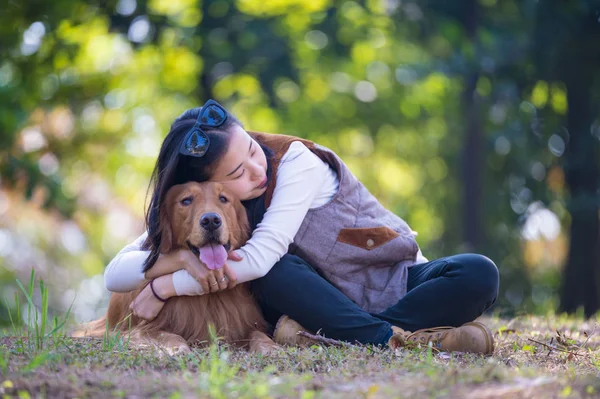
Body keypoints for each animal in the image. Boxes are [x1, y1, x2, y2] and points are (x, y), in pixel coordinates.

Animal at [75, 182, 278, 356]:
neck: (210, 296)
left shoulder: (245, 324)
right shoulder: (139, 330)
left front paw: (269, 347)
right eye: (186, 200)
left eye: (223, 198)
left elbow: (258, 334)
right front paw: (176, 348)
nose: (211, 220)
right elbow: (168, 335)